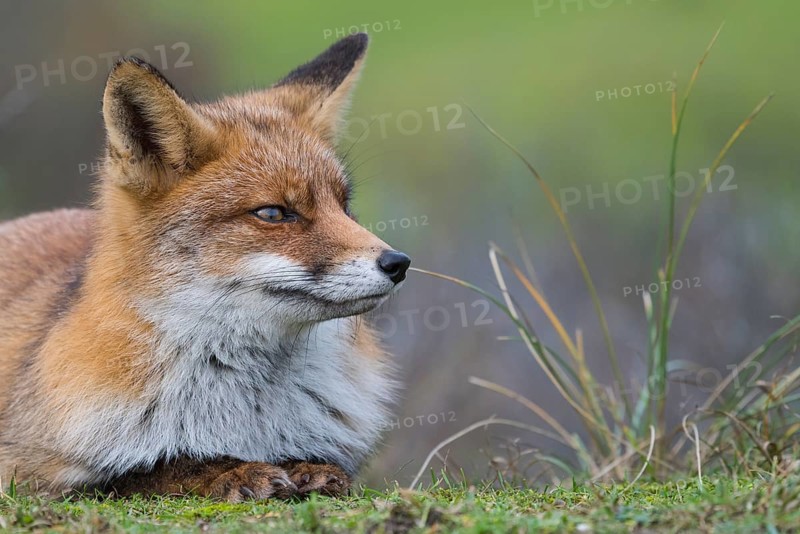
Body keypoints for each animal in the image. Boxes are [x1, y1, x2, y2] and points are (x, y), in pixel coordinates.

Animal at [0, 33, 411, 502]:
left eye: (344, 206)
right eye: (273, 213)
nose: (398, 263)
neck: (242, 407)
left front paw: (308, 468)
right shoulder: (34, 474)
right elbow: (157, 469)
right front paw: (230, 471)